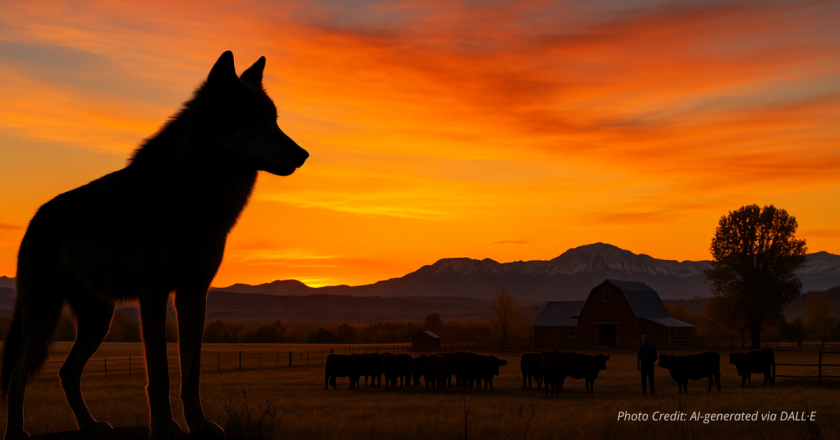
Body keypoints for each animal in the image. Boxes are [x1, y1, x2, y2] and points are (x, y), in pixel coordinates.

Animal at [1, 51, 308, 440]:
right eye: (255, 119)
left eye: (275, 121)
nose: (303, 154)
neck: (193, 196)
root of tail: (34, 220)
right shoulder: (154, 293)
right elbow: (159, 373)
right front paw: (163, 427)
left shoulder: (194, 295)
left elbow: (191, 375)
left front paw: (198, 424)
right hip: (45, 315)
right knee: (17, 376)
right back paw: (16, 432)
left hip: (98, 321)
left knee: (65, 373)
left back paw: (91, 426)